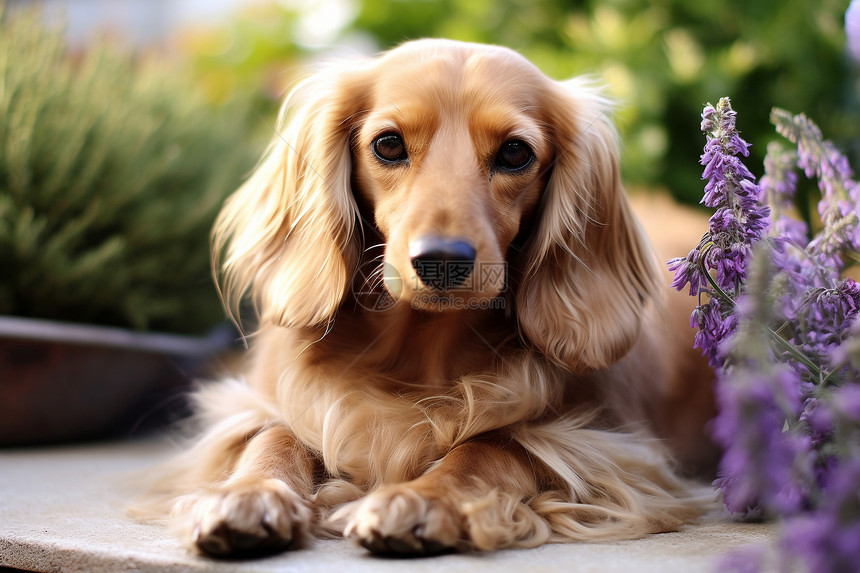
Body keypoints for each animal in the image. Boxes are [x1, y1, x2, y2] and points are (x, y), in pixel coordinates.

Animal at [139, 39, 720, 556]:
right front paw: (249, 493)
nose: (442, 259)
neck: (417, 355)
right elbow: (274, 434)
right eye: (388, 144)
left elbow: (491, 446)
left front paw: (421, 499)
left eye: (515, 152)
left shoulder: (613, 449)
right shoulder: (247, 407)